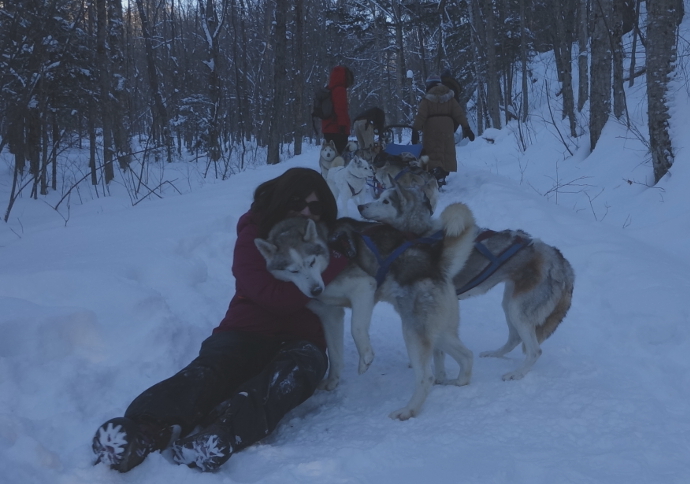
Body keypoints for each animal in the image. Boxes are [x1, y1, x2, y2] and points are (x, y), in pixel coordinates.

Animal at [255, 193, 476, 420]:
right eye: (293, 271)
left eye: (311, 262)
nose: (315, 290)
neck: (329, 249)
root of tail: (434, 263)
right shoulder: (329, 314)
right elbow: (335, 354)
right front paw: (333, 380)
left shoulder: (364, 288)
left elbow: (357, 328)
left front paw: (366, 357)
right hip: (437, 331)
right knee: (467, 356)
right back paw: (460, 381)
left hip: (413, 332)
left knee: (426, 377)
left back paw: (408, 410)